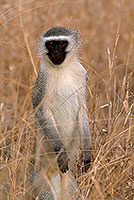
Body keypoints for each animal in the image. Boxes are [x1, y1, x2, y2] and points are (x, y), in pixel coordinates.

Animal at [31, 26, 92, 198]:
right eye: (51, 44)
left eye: (62, 43)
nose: (56, 52)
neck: (62, 69)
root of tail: (55, 174)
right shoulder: (43, 78)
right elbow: (41, 111)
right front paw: (62, 152)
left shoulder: (81, 74)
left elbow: (82, 110)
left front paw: (87, 153)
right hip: (40, 183)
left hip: (69, 183)